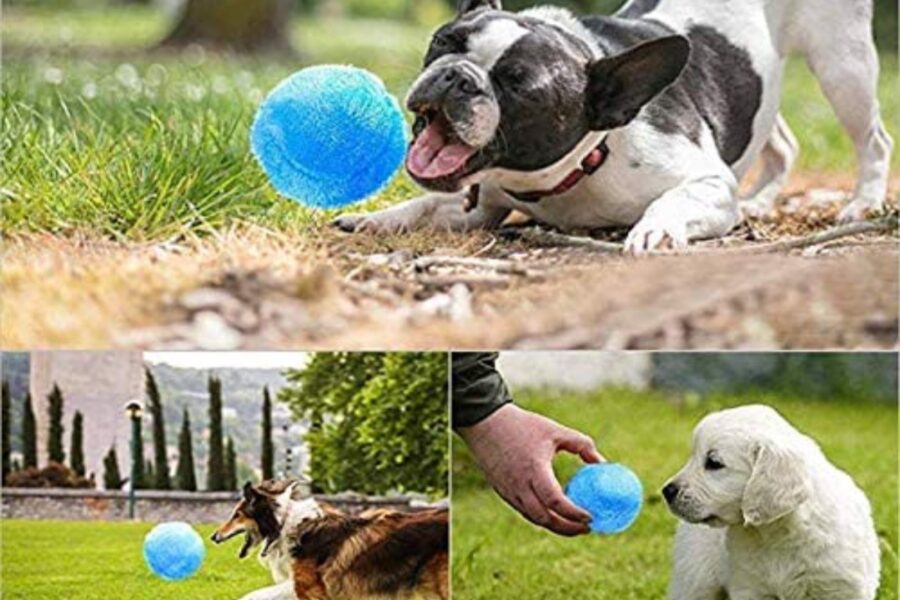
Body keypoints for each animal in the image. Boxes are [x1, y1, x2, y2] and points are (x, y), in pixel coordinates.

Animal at [668, 404, 880, 600]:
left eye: (714, 463)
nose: (667, 491)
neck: (778, 533)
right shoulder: (751, 587)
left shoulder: (840, 587)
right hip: (695, 579)